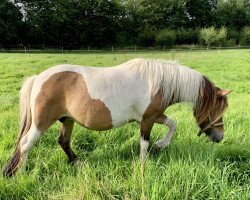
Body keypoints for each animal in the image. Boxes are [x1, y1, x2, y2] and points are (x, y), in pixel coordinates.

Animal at [2, 58, 231, 176]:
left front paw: (161, 145)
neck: (159, 82)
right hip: (41, 123)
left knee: (63, 141)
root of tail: (38, 78)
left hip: (67, 120)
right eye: (217, 111)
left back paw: (77, 163)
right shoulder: (147, 120)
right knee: (25, 144)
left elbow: (172, 125)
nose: (220, 137)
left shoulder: (153, 115)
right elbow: (144, 143)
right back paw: (21, 173)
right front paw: (143, 163)